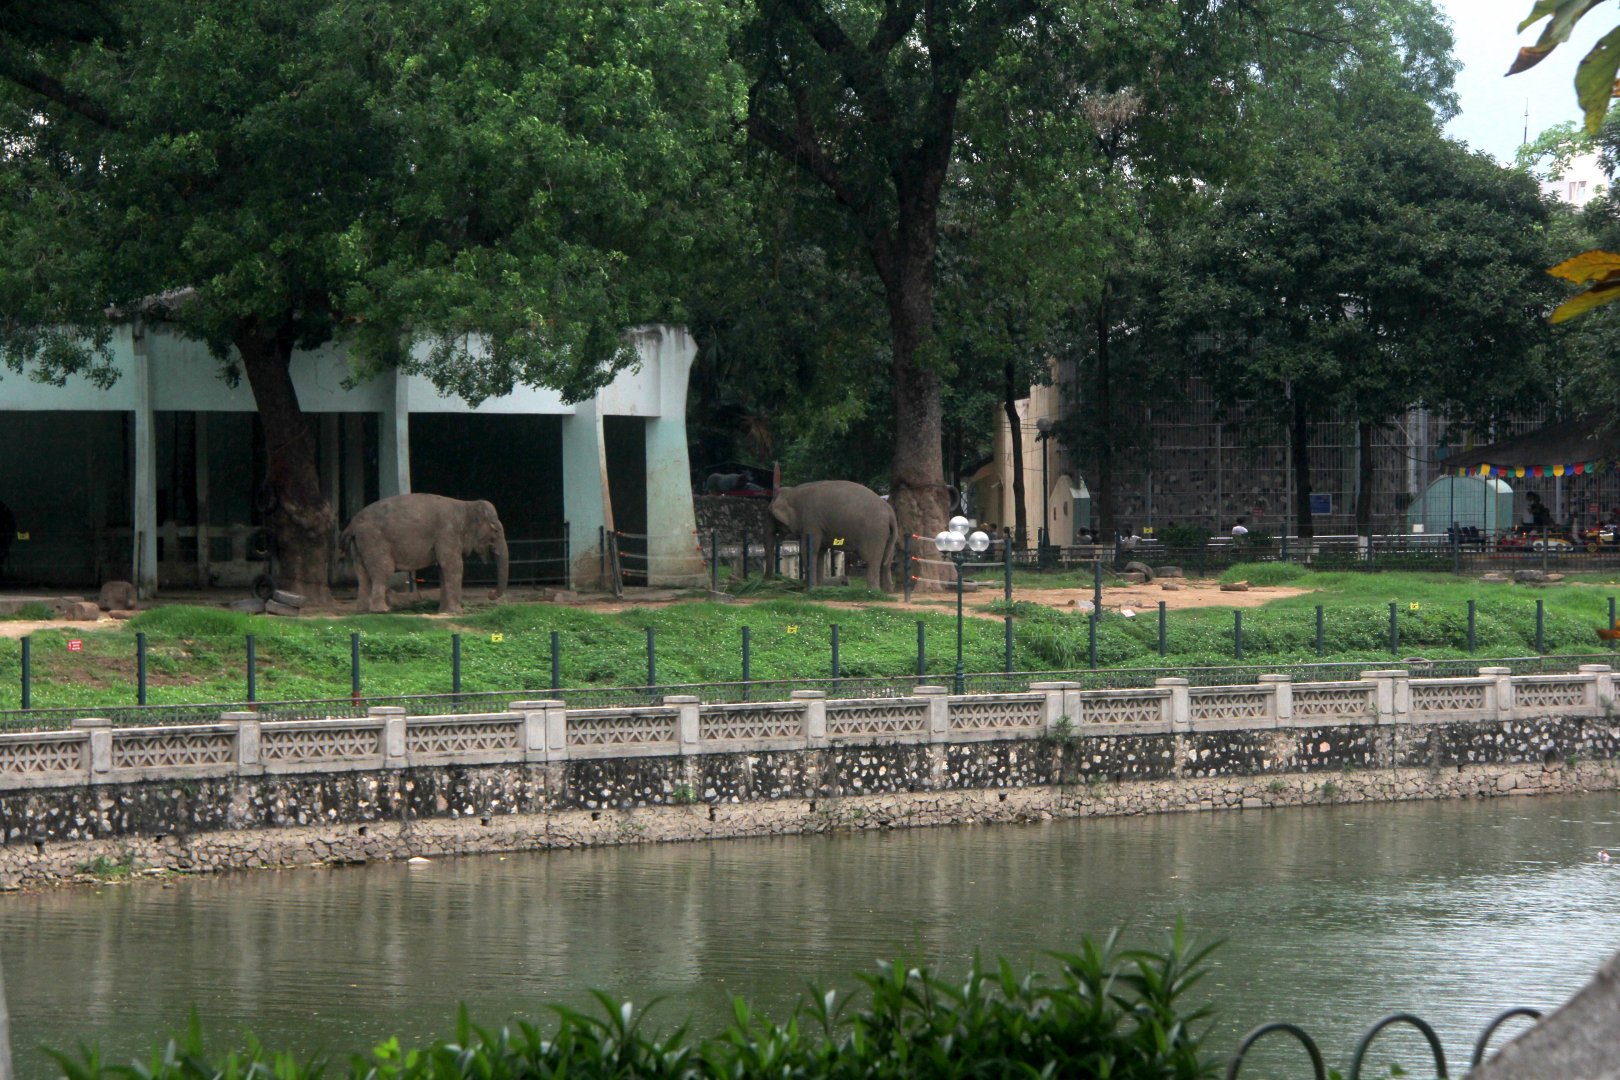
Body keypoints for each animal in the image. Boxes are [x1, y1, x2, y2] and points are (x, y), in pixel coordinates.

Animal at [339, 493, 510, 614]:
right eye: (495, 530)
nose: (490, 594)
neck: (466, 504)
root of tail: (352, 524)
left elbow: (443, 569)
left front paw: (444, 612)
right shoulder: (448, 534)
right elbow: (454, 567)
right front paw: (457, 612)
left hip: (359, 545)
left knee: (362, 575)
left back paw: (362, 610)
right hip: (374, 541)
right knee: (383, 571)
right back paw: (382, 610)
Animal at [770, 480, 900, 591]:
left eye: (770, 513)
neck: (794, 491)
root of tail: (890, 513)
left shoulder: (811, 521)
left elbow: (809, 550)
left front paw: (809, 590)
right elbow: (820, 552)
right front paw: (819, 588)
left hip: (874, 532)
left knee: (872, 559)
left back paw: (872, 592)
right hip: (887, 534)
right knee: (886, 560)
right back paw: (886, 591)